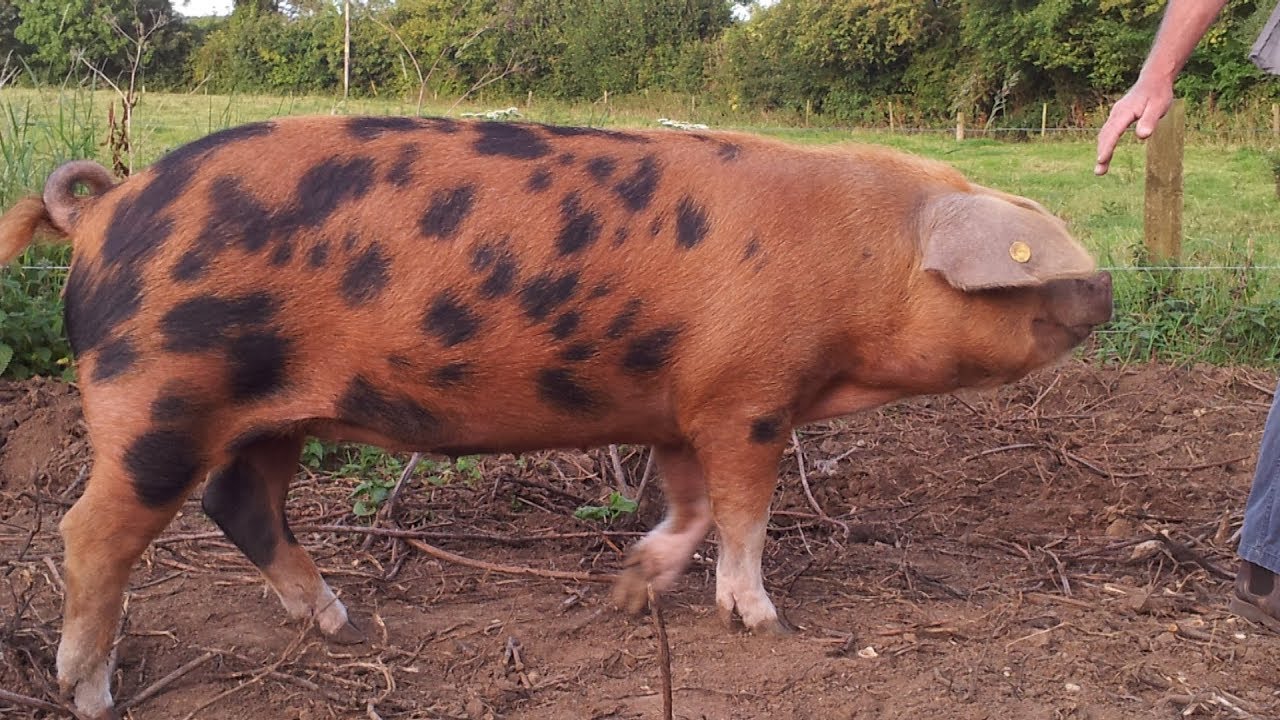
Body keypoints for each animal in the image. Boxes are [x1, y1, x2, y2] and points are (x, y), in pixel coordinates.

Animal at [0, 115, 1112, 719]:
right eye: (1035, 265)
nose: (1107, 289)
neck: (861, 259)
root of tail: (101, 212)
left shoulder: (680, 406)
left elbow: (690, 507)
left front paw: (629, 591)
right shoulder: (748, 396)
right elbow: (745, 514)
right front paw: (763, 621)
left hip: (271, 416)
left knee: (241, 505)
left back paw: (341, 624)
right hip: (160, 396)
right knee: (92, 531)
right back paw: (92, 694)